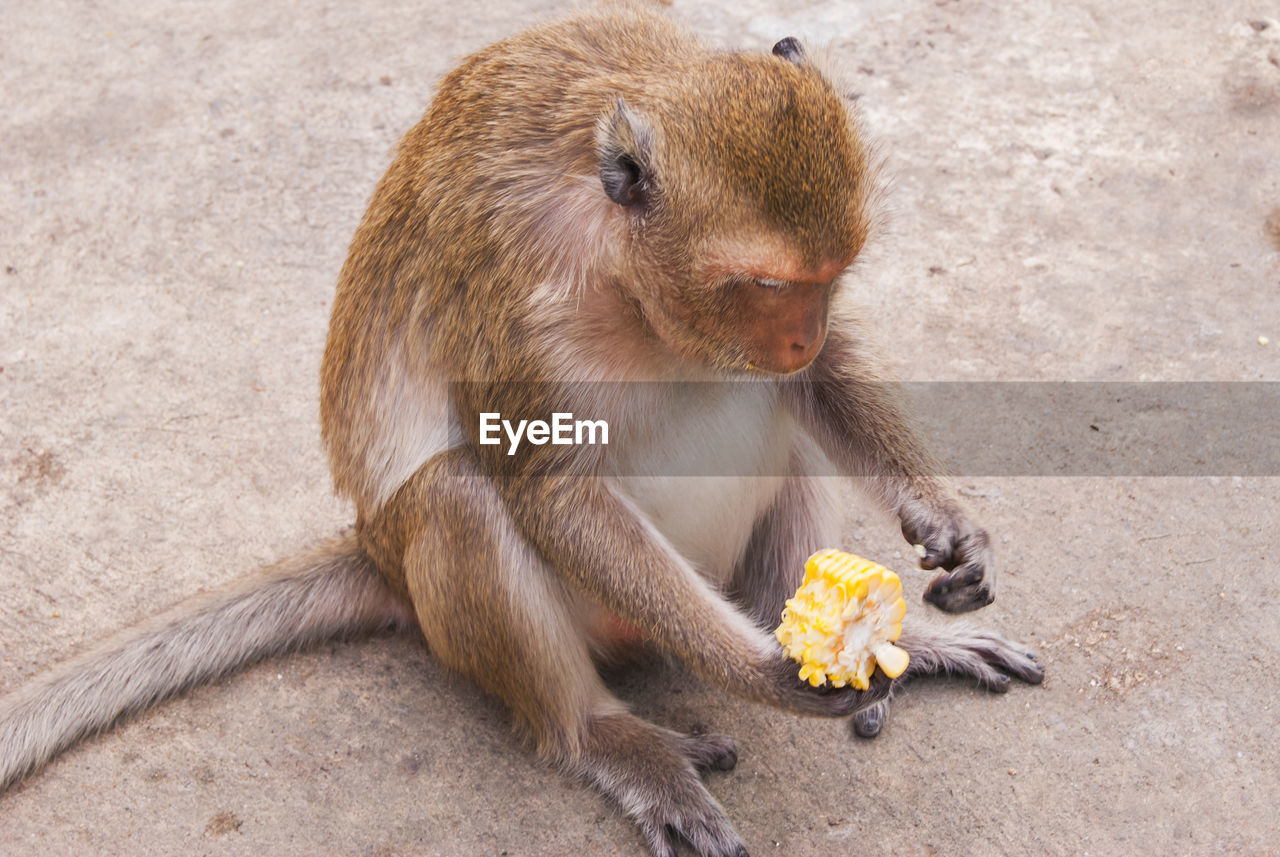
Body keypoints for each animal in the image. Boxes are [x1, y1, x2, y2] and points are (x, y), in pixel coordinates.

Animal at [0, 8, 1039, 857]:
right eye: (762, 284)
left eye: (833, 275)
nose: (800, 333)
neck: (624, 264)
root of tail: (376, 553)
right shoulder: (517, 297)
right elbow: (545, 482)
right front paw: (758, 671)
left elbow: (821, 385)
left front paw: (947, 521)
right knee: (463, 494)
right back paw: (607, 734)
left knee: (790, 425)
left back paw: (870, 632)